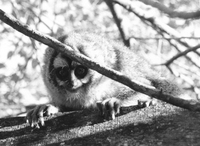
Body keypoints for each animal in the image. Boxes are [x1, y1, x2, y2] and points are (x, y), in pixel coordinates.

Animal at [26, 31, 183, 128]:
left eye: (80, 71)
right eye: (63, 72)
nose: (72, 83)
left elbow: (145, 86)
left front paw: (114, 101)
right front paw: (47, 107)